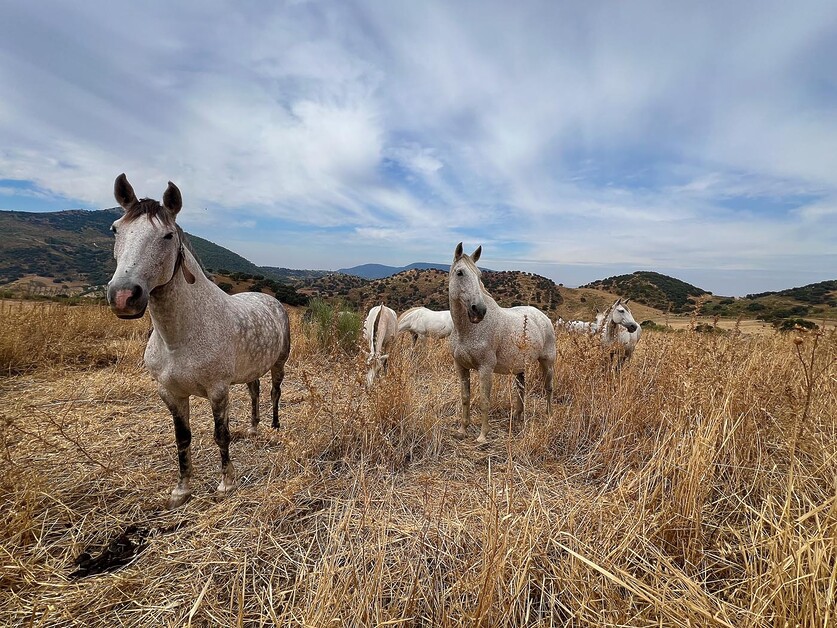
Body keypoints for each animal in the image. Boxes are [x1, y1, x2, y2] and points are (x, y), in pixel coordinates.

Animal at [104, 174, 290, 508]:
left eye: (167, 236)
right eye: (116, 229)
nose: (124, 296)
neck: (179, 340)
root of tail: (270, 299)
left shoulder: (218, 391)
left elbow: (221, 435)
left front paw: (227, 483)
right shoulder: (170, 394)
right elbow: (182, 438)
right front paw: (182, 489)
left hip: (279, 364)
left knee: (273, 393)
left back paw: (274, 428)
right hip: (251, 370)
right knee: (255, 393)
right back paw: (253, 428)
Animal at [448, 243, 560, 444]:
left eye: (479, 275)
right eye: (460, 273)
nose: (479, 310)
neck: (467, 331)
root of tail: (543, 317)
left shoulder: (485, 368)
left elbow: (485, 401)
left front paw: (482, 436)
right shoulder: (460, 367)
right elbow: (465, 397)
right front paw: (462, 430)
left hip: (547, 363)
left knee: (548, 388)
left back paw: (549, 416)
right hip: (520, 367)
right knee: (521, 391)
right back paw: (518, 418)